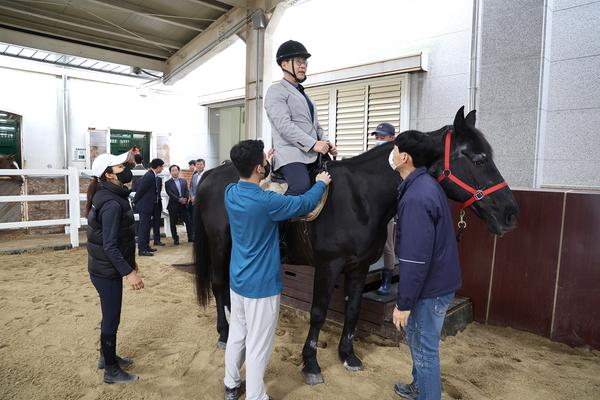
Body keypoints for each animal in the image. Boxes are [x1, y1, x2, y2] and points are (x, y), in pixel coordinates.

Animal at [193, 107, 520, 384]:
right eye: (479, 159)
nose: (511, 214)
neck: (360, 197)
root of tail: (213, 173)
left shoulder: (359, 267)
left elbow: (353, 310)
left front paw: (348, 356)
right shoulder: (328, 267)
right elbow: (318, 313)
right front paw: (311, 364)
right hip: (220, 244)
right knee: (219, 284)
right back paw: (224, 333)